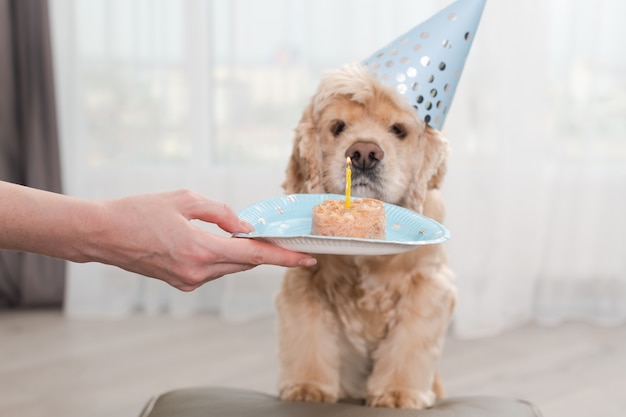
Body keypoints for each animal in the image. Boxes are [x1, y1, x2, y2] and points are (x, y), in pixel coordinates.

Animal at [276, 64, 456, 410]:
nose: (362, 153)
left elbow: (410, 343)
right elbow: (308, 337)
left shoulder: (426, 286)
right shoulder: (305, 283)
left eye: (399, 129)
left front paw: (398, 393)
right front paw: (307, 387)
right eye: (338, 127)